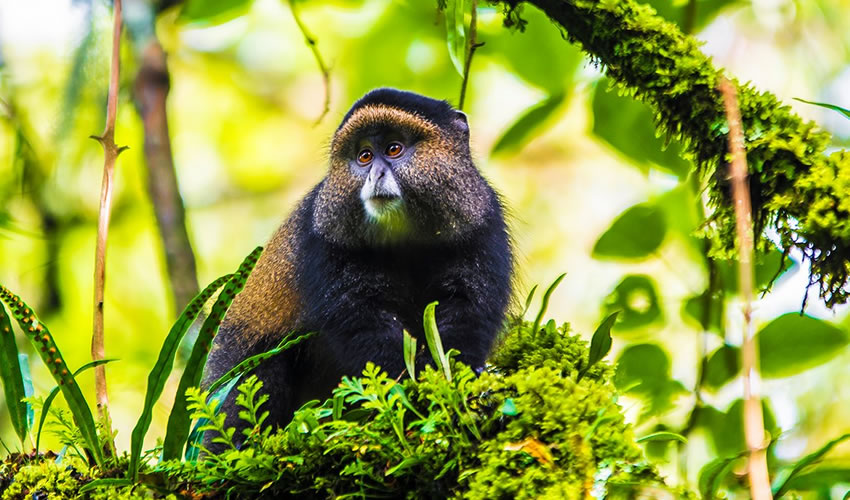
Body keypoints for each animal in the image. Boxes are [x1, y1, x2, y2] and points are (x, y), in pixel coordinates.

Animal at [201, 88, 513, 448]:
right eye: (364, 156)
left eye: (393, 149)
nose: (375, 174)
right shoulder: (325, 241)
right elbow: (361, 321)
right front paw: (405, 388)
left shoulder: (482, 226)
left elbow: (467, 308)